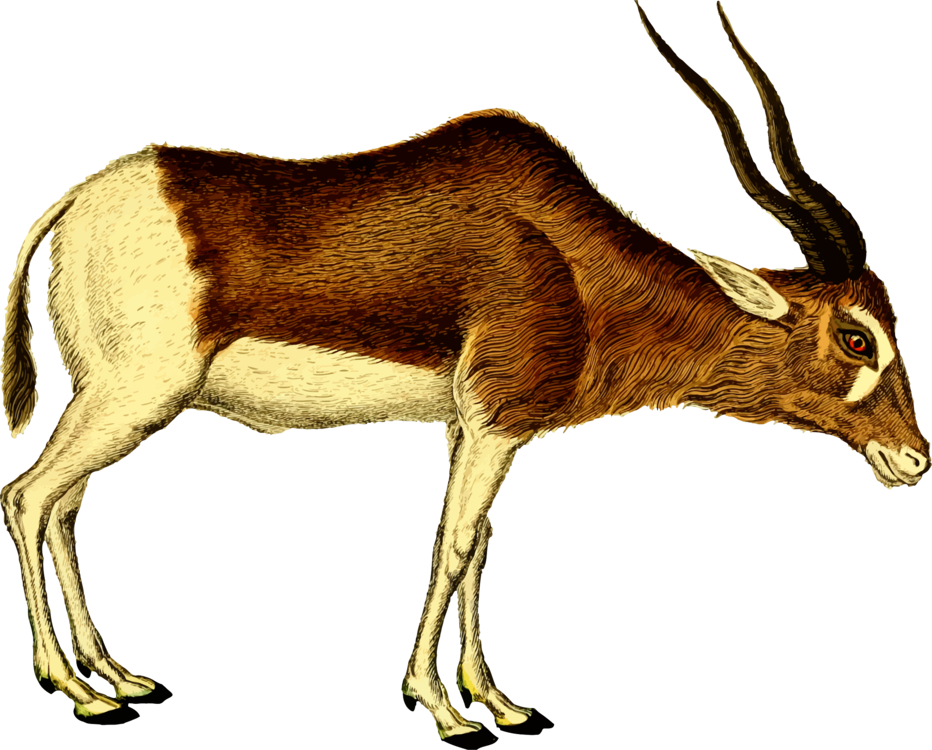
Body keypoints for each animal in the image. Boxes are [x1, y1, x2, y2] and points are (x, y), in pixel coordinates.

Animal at [1, 0, 927, 738]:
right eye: (858, 339)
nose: (914, 459)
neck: (568, 257)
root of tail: (74, 201)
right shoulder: (495, 422)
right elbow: (449, 547)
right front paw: (442, 708)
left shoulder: (472, 428)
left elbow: (478, 548)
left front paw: (496, 699)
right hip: (133, 398)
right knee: (29, 495)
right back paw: (74, 688)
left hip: (113, 405)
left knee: (67, 506)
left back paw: (114, 675)